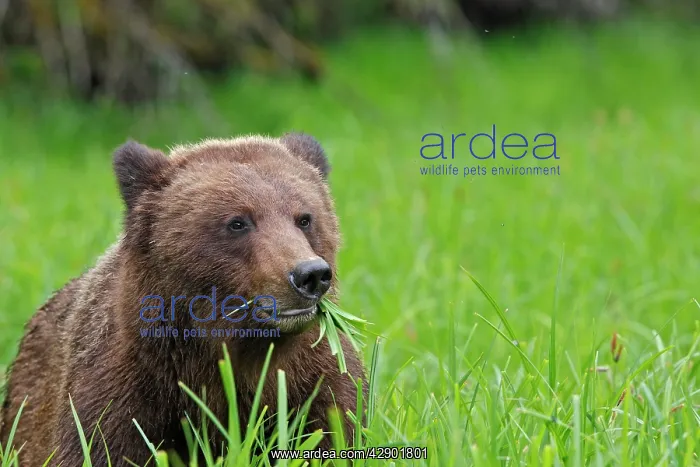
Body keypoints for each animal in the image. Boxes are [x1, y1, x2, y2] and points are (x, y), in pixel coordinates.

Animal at [0, 133, 366, 466]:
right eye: (238, 222)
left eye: (304, 218)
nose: (309, 274)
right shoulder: (123, 390)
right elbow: (100, 445)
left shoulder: (316, 382)